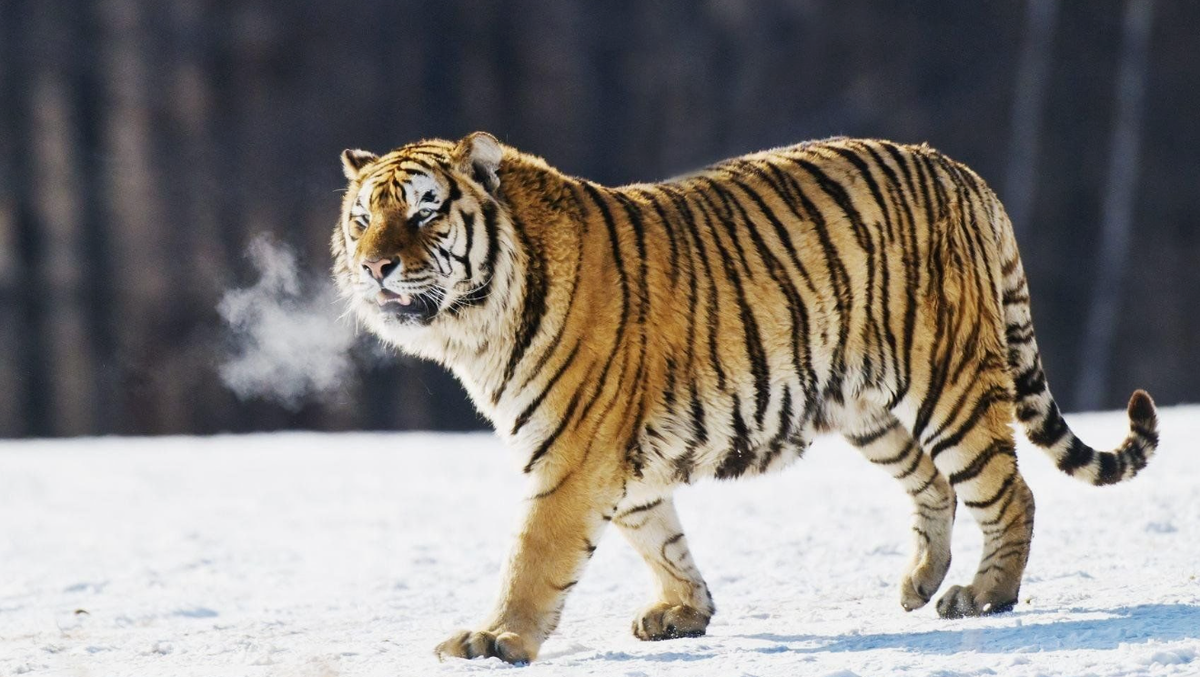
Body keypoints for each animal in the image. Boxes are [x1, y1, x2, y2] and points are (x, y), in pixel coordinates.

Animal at [332, 132, 1158, 665]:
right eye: (363, 217)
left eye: (425, 212)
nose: (373, 266)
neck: (476, 327)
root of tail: (962, 172)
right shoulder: (616, 462)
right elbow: (660, 538)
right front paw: (686, 612)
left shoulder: (571, 458)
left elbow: (533, 557)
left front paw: (495, 639)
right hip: (868, 407)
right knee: (935, 486)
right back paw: (921, 581)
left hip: (947, 383)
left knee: (1009, 490)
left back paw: (984, 593)